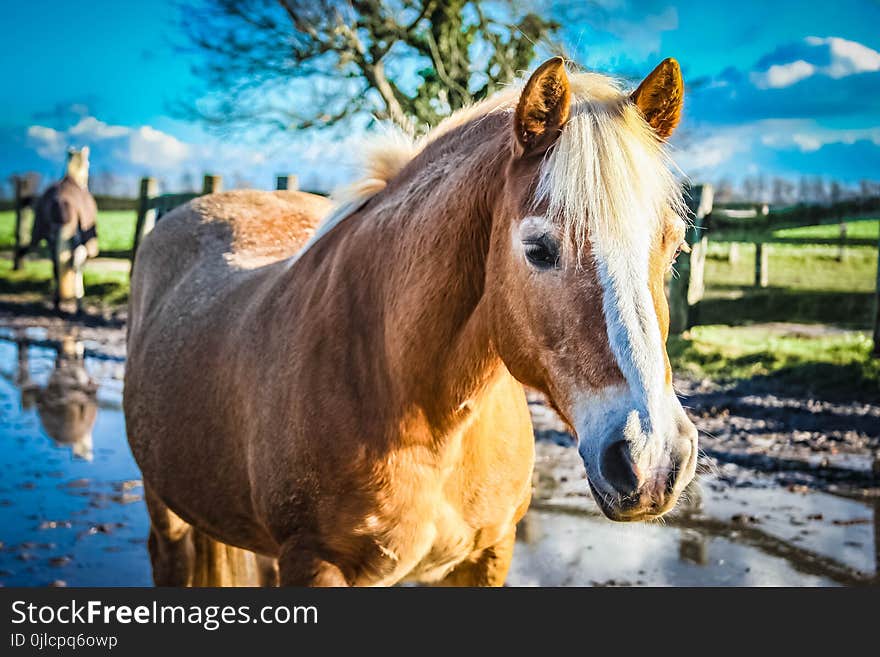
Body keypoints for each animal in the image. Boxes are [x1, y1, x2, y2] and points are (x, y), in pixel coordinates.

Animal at [19, 147, 99, 316]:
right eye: (88, 162)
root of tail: (60, 202)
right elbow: (78, 263)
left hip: (49, 237)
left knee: (56, 265)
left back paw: (57, 301)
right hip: (80, 239)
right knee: (75, 263)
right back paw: (78, 303)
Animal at [125, 57, 700, 584]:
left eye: (675, 247)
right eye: (539, 250)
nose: (652, 460)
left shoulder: (490, 553)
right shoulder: (315, 563)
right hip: (166, 513)